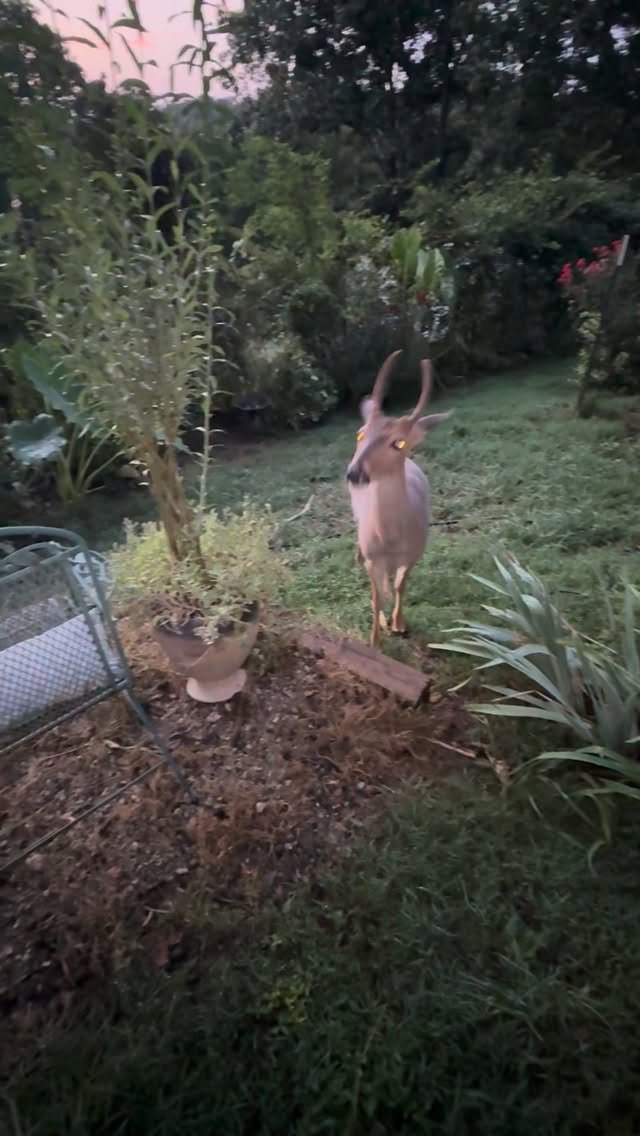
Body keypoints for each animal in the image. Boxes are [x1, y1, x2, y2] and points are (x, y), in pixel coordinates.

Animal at [346, 350, 453, 647]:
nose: (355, 473)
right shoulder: (374, 557)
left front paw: (399, 624)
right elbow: (376, 596)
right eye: (360, 433)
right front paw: (374, 641)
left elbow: (400, 585)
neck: (390, 538)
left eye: (399, 442)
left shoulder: (414, 552)